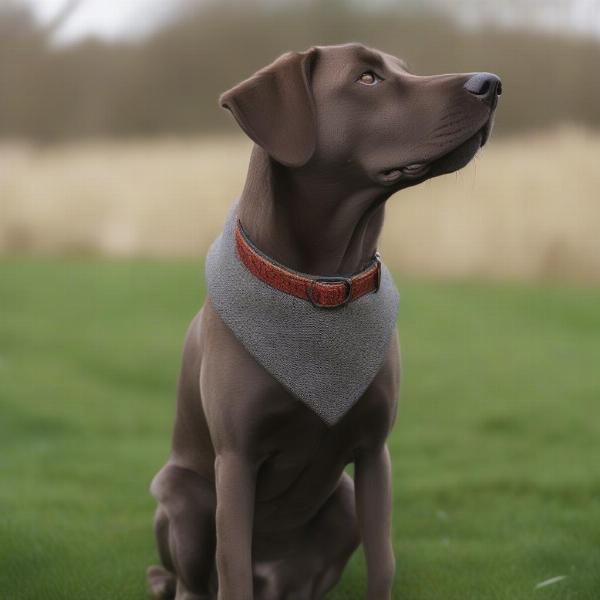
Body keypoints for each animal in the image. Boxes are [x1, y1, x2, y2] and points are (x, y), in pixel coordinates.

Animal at [146, 43, 502, 600]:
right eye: (367, 78)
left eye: (402, 69)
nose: (492, 83)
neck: (324, 283)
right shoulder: (236, 460)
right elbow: (232, 568)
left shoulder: (375, 453)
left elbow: (383, 564)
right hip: (185, 495)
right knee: (192, 581)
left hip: (343, 502)